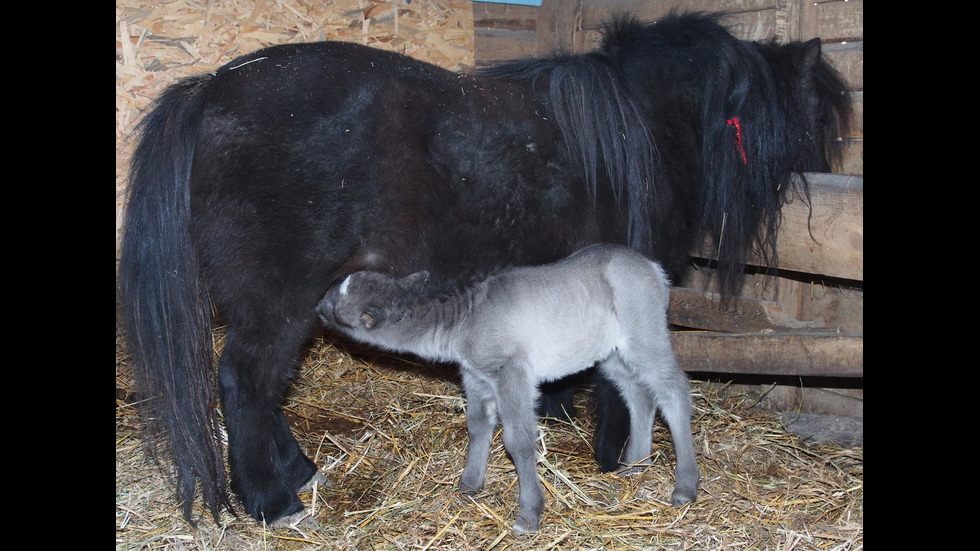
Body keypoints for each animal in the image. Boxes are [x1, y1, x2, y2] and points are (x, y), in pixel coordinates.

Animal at [117, 10, 848, 524]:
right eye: (823, 113)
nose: (833, 170)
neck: (647, 127)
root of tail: (209, 89)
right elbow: (621, 388)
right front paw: (618, 458)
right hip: (279, 304)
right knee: (244, 384)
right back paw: (274, 500)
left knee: (262, 394)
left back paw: (299, 473)